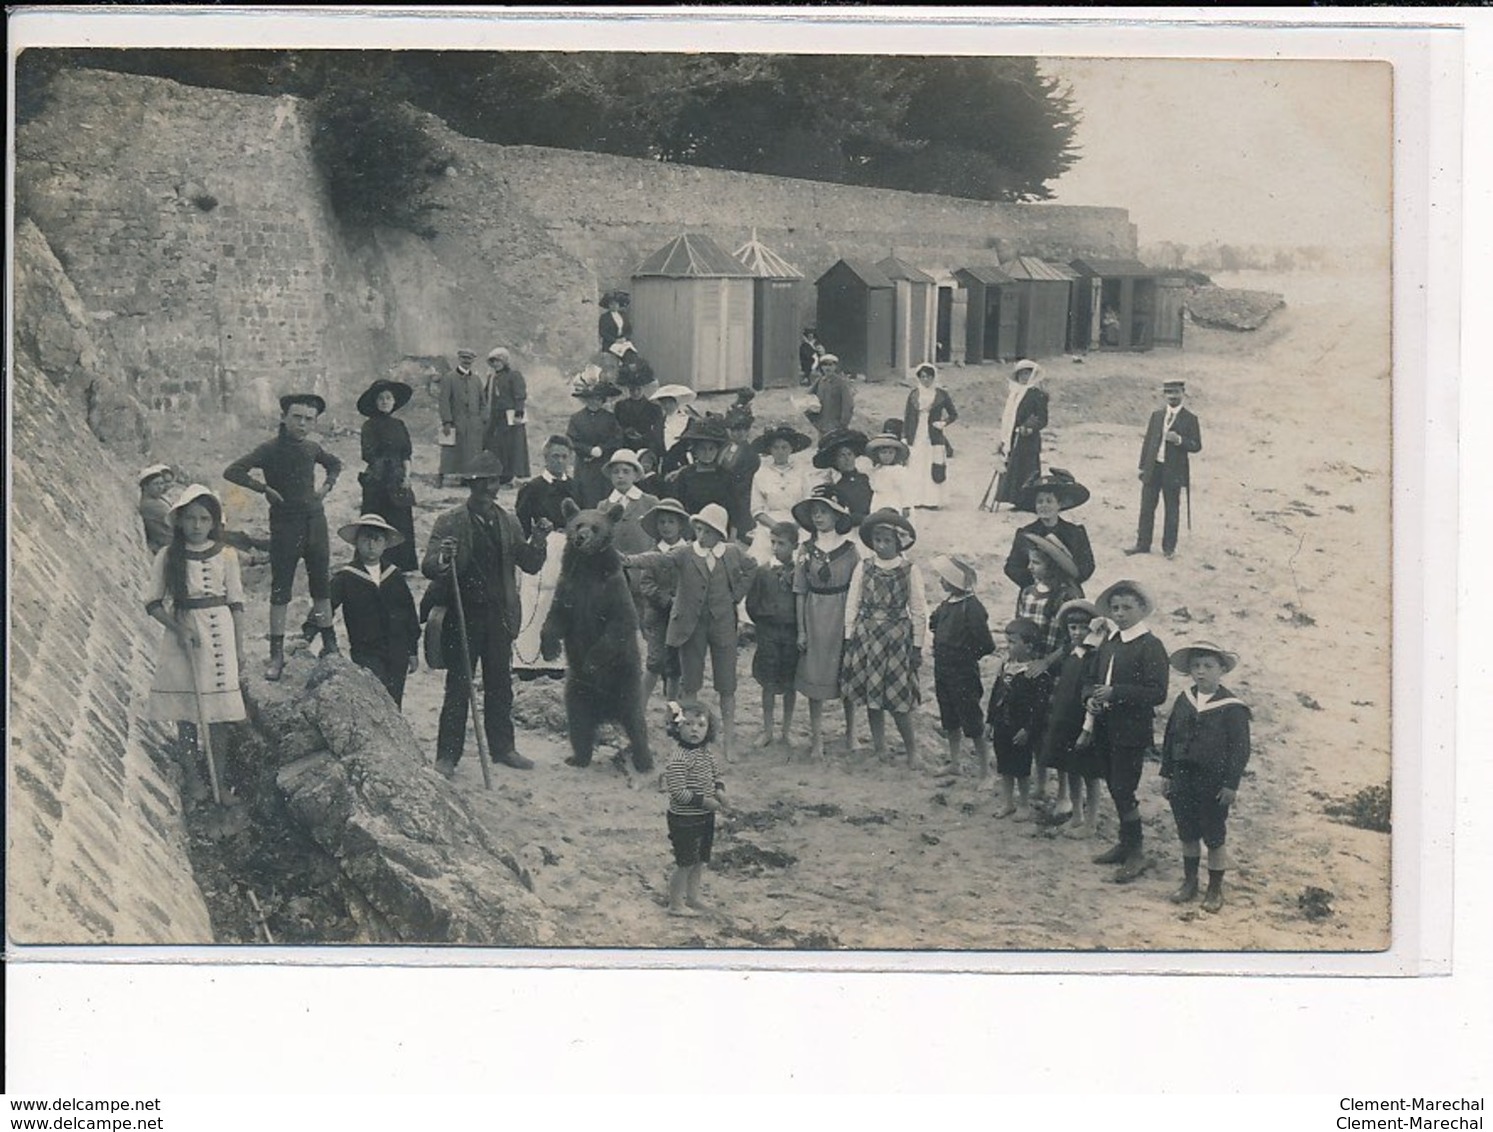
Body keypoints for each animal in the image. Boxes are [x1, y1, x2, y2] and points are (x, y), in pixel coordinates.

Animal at [540, 501, 650, 776]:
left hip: (627, 684)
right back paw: (578, 757)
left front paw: (590, 662)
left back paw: (644, 760)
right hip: (576, 690)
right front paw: (550, 649)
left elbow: (619, 624)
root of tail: (607, 712)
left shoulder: (612, 590)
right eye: (578, 523)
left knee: (636, 724)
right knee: (579, 723)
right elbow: (555, 618)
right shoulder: (569, 588)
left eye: (596, 527)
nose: (581, 538)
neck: (588, 568)